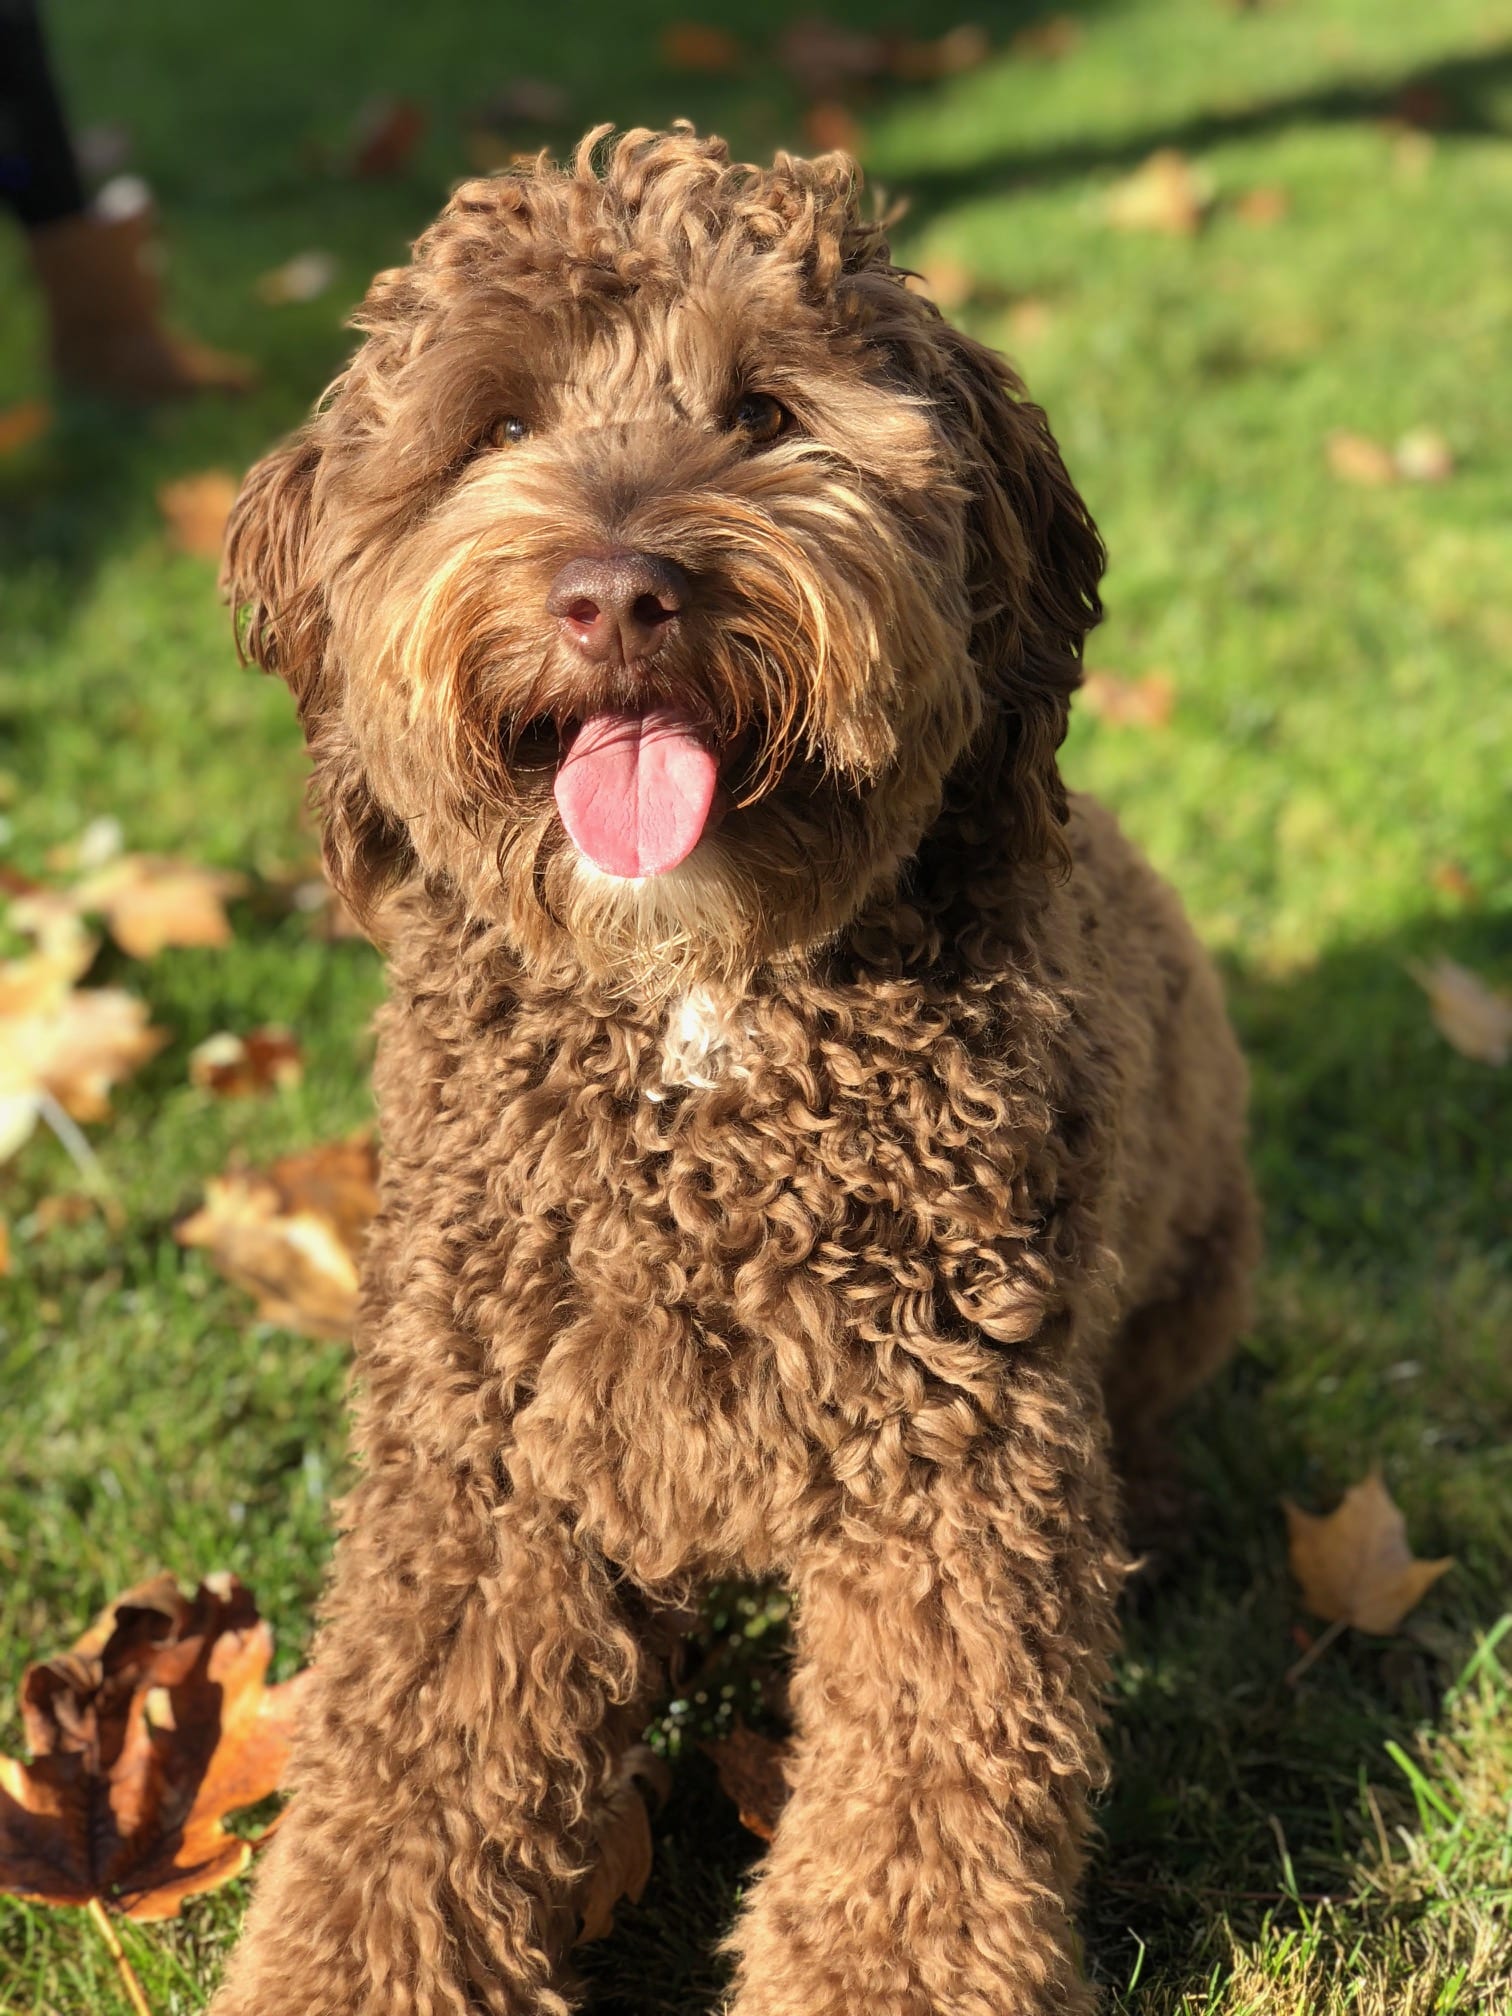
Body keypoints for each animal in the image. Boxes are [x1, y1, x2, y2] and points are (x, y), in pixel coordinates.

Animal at [210, 126, 1257, 2016]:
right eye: (494, 425)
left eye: (766, 412)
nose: (620, 591)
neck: (699, 1005)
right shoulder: (487, 1469)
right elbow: (403, 1783)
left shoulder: (953, 1470)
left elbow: (921, 1811)